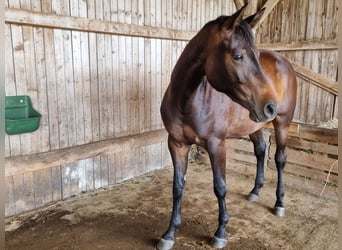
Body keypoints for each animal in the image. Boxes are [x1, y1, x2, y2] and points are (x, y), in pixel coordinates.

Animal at [157, 4, 296, 250]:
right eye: (238, 55)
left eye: (256, 55)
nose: (270, 106)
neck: (187, 100)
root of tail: (285, 62)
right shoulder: (176, 144)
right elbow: (178, 187)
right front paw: (170, 233)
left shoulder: (216, 145)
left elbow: (220, 187)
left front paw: (220, 232)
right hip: (255, 124)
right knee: (261, 151)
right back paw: (255, 191)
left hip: (282, 123)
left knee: (280, 159)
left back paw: (279, 202)